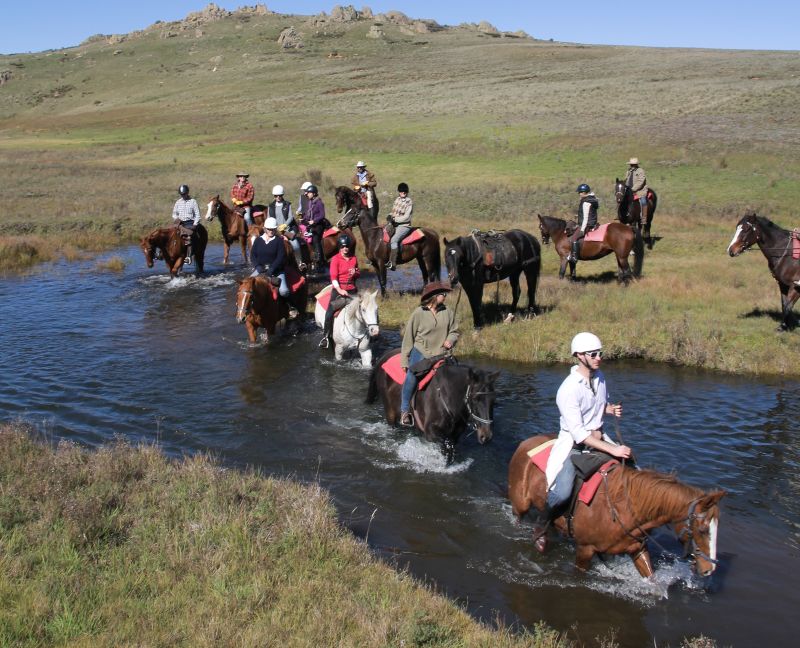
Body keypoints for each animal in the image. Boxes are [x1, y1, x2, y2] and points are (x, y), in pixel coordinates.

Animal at [366, 346, 496, 464]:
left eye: (493, 400)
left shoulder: (455, 434)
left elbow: (450, 449)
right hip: (390, 412)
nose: (486, 436)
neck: (446, 395)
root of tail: (384, 357)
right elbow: (447, 445)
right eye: (475, 399)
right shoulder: (431, 432)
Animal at [510, 436, 728, 576]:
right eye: (702, 530)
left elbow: (651, 577)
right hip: (520, 505)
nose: (709, 570)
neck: (624, 508)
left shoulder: (637, 548)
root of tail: (526, 442)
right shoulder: (585, 550)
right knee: (520, 518)